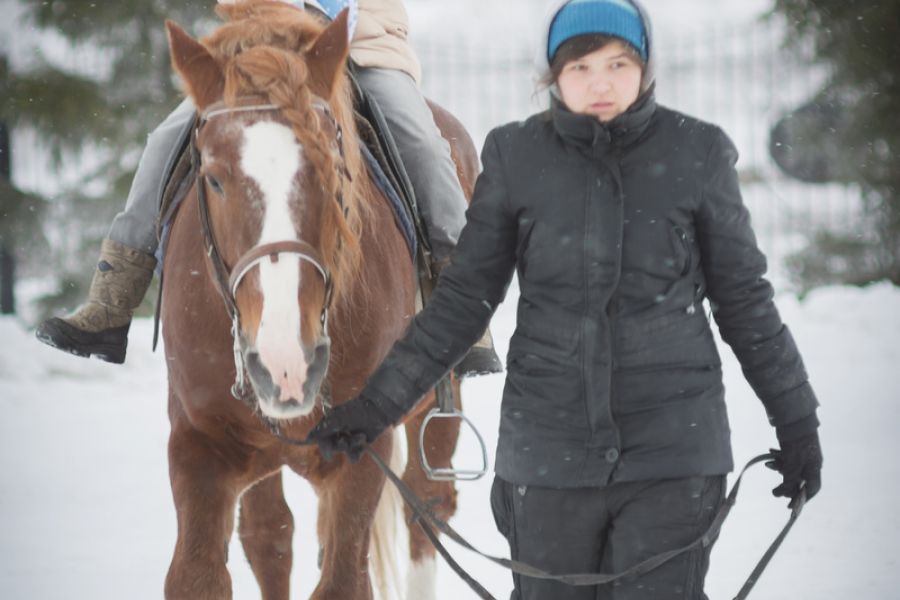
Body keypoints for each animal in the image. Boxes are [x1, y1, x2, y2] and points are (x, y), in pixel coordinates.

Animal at [160, 2, 478, 596]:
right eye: (213, 179)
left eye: (333, 167)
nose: (286, 363)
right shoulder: (198, 445)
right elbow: (198, 573)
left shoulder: (361, 450)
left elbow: (344, 578)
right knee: (270, 537)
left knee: (427, 509)